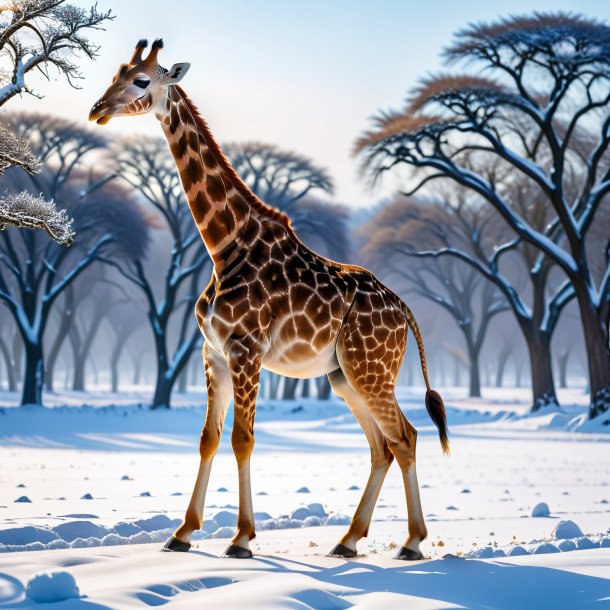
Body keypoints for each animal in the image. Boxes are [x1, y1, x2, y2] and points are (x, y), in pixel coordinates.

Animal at [89, 39, 446, 560]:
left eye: (141, 80)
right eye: (115, 73)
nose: (96, 109)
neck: (225, 245)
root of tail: (406, 312)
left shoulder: (246, 350)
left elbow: (243, 439)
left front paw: (241, 539)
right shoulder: (213, 353)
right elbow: (208, 439)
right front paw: (183, 533)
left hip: (372, 371)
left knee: (406, 437)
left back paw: (412, 542)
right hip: (344, 376)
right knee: (382, 445)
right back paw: (348, 541)